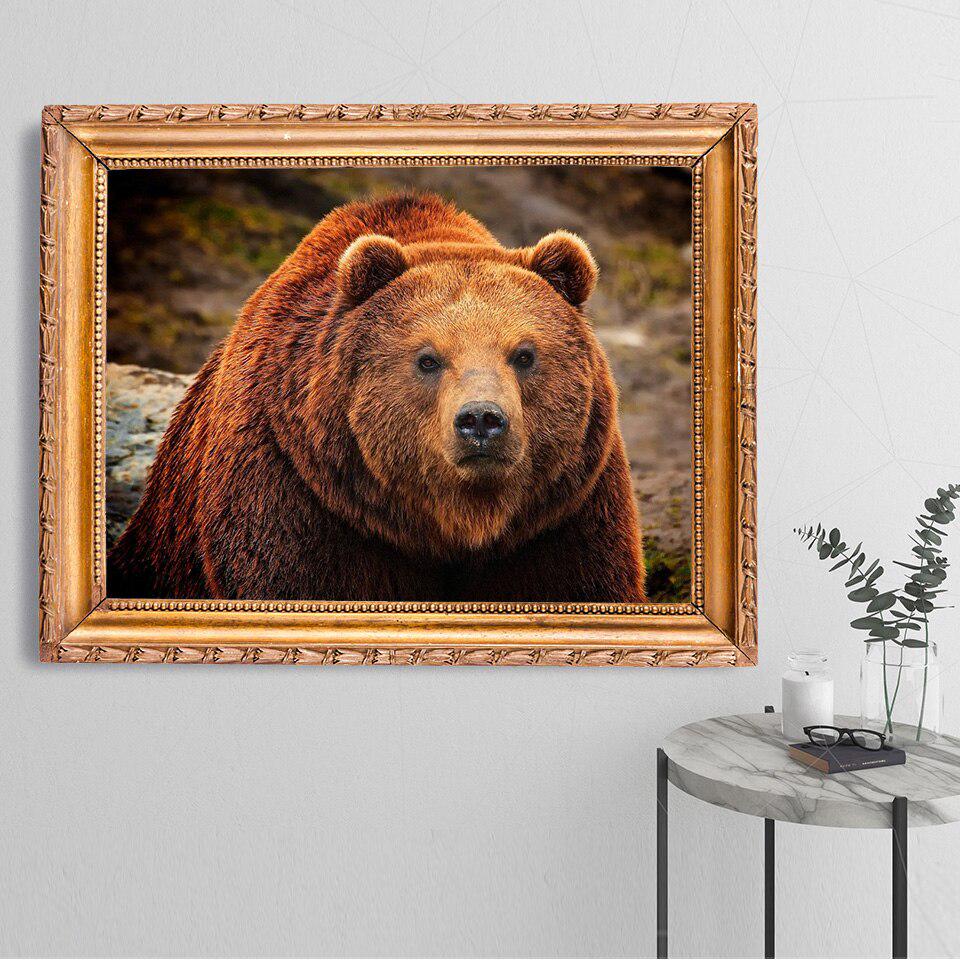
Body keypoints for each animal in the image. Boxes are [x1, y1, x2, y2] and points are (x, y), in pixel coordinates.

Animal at [108, 193, 646, 603]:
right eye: (428, 359)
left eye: (524, 354)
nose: (481, 420)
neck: (454, 524)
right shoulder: (298, 494)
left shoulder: (560, 513)